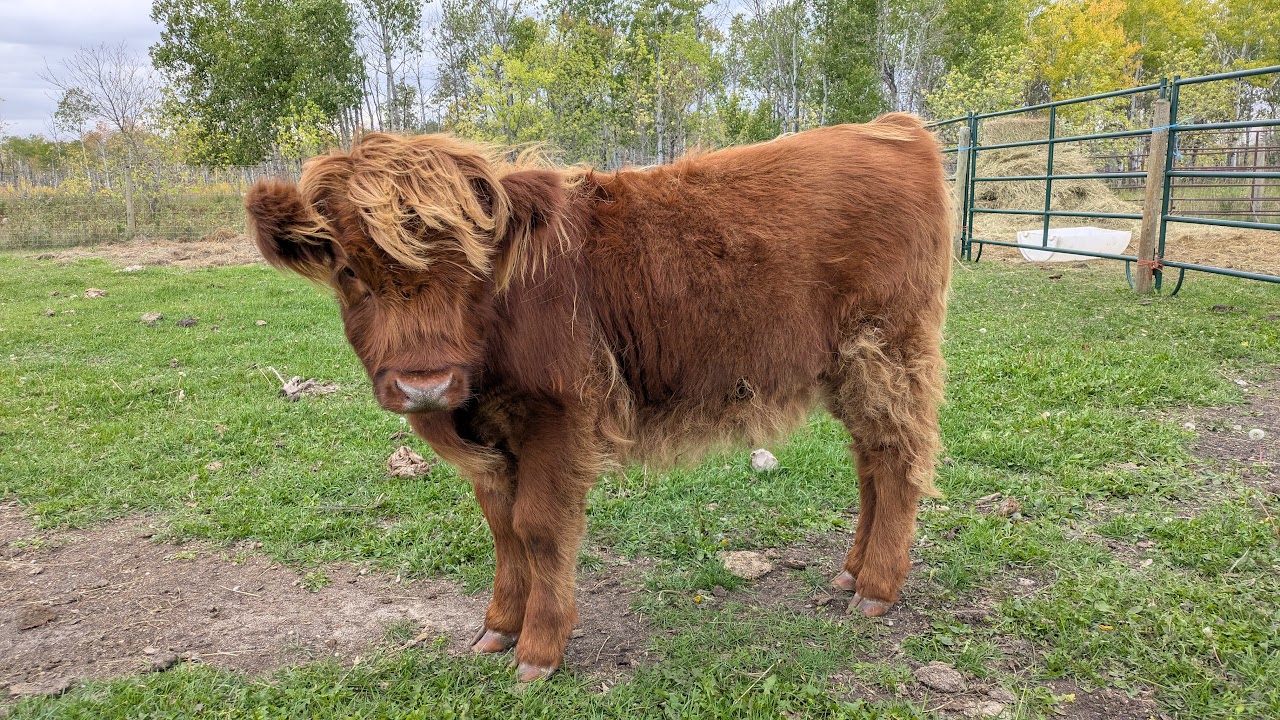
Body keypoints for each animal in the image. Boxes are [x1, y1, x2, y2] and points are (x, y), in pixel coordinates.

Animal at [245, 113, 952, 682]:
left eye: (473, 270)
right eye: (348, 271)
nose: (426, 384)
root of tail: (893, 128)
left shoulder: (559, 419)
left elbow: (538, 527)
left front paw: (539, 649)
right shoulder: (492, 441)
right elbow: (503, 529)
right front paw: (496, 628)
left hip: (886, 356)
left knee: (898, 460)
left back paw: (877, 588)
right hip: (849, 372)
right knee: (870, 463)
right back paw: (851, 572)